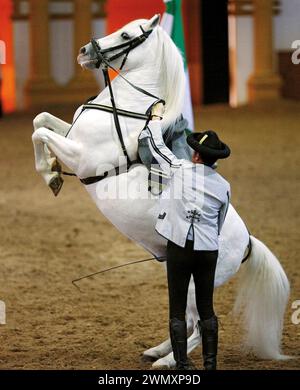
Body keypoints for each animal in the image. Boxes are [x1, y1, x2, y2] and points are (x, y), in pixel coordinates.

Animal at [31, 14, 290, 368]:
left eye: (125, 34)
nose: (84, 51)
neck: (127, 109)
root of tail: (248, 242)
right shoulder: (71, 135)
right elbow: (40, 119)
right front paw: (53, 169)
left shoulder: (82, 157)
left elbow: (39, 132)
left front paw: (51, 175)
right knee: (187, 319)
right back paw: (157, 350)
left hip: (197, 284)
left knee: (200, 325)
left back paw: (165, 361)